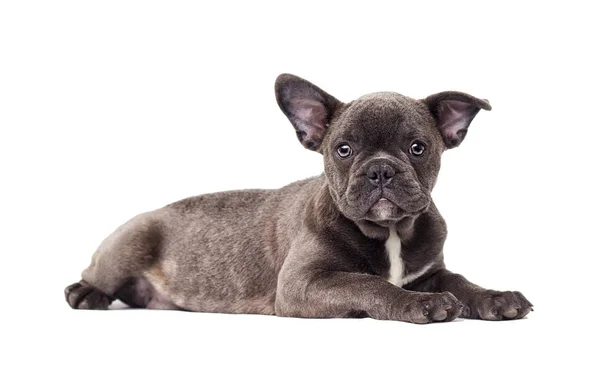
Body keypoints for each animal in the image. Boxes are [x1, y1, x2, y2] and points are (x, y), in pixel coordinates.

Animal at [67, 73, 536, 324]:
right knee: (98, 274)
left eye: (418, 148)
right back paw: (86, 293)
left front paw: (494, 297)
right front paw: (419, 304)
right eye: (343, 149)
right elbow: (367, 283)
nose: (380, 169)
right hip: (131, 240)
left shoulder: (428, 270)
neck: (389, 230)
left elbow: (458, 281)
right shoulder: (302, 283)